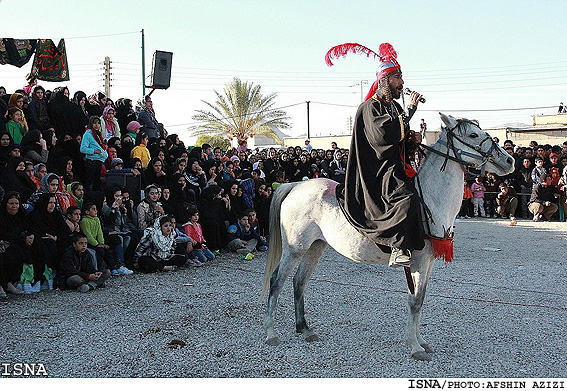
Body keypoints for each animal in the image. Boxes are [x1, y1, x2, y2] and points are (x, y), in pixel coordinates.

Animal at [262, 113, 516, 362]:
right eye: (473, 135)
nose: (509, 161)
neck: (431, 199)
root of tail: (295, 185)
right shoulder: (418, 261)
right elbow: (415, 301)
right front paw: (414, 346)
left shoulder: (428, 262)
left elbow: (420, 298)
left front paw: (420, 341)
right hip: (295, 248)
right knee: (277, 280)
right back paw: (271, 333)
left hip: (315, 247)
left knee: (299, 282)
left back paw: (305, 329)